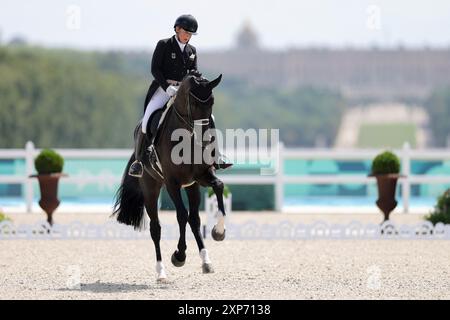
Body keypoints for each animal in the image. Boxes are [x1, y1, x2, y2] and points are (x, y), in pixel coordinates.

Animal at [111, 73, 227, 282]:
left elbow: (219, 186)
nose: (205, 140)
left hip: (191, 186)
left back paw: (206, 261)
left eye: (212, 102)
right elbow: (181, 215)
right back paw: (161, 272)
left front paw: (218, 232)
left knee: (195, 220)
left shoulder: (202, 176)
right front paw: (179, 255)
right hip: (151, 189)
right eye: (193, 103)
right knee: (156, 228)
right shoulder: (172, 183)